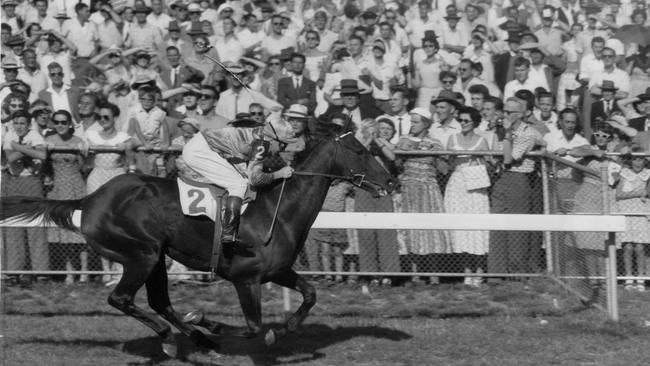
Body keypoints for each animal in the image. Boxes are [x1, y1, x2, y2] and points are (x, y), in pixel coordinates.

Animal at [0, 129, 394, 358]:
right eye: (360, 150)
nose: (390, 180)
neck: (277, 210)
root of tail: (91, 198)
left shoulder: (277, 271)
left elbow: (309, 296)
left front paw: (278, 332)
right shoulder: (245, 278)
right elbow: (253, 327)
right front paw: (214, 324)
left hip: (156, 257)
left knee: (159, 301)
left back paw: (197, 339)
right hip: (140, 254)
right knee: (122, 299)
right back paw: (177, 337)